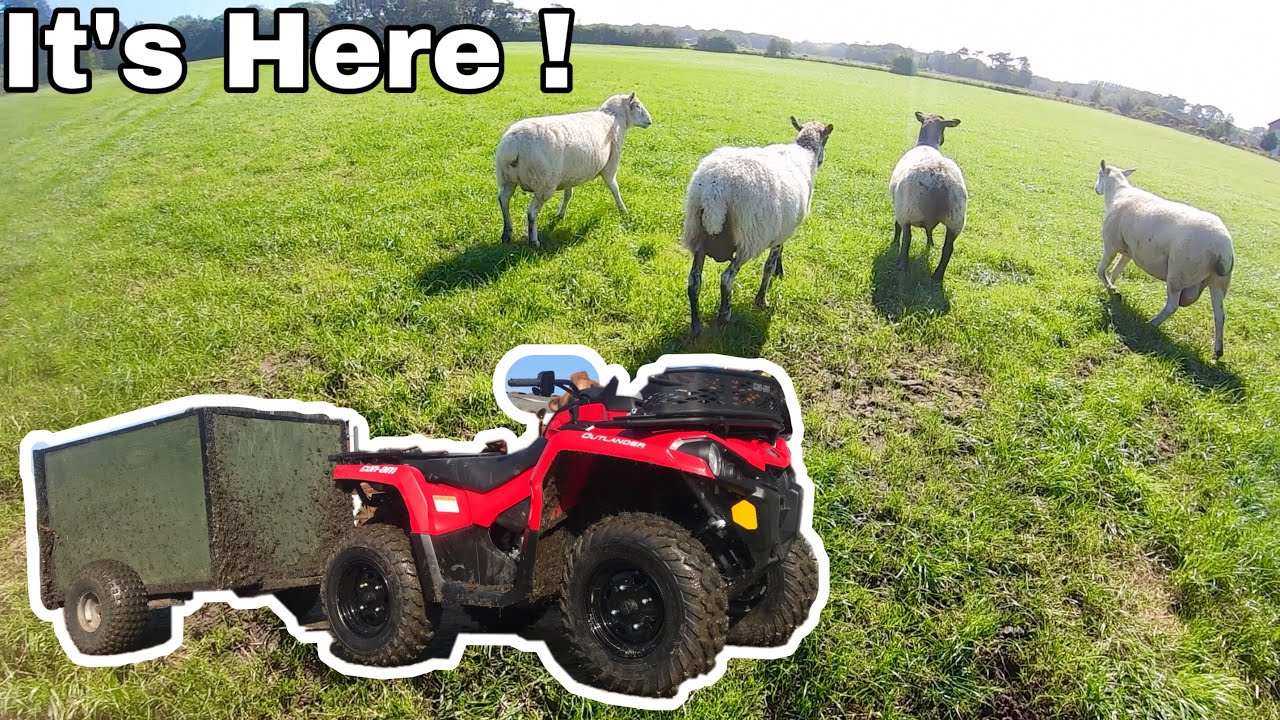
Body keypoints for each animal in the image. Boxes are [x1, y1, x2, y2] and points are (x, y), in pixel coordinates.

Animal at [496, 94, 653, 248]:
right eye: (637, 106)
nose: (650, 121)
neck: (613, 118)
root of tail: (514, 146)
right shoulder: (610, 166)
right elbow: (615, 189)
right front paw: (623, 211)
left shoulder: (569, 175)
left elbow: (568, 195)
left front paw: (560, 215)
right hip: (544, 183)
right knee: (531, 213)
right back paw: (534, 241)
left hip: (506, 178)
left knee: (503, 200)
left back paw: (507, 233)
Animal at [682, 117, 834, 337]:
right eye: (827, 140)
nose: (822, 161)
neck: (805, 154)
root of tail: (714, 189)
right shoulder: (782, 231)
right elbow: (768, 267)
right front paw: (762, 299)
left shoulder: (782, 229)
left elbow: (779, 254)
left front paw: (779, 271)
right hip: (748, 240)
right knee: (726, 279)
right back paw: (724, 316)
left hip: (697, 233)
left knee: (694, 281)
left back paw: (696, 326)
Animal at [889, 112, 968, 283]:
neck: (926, 144)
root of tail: (939, 181)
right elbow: (929, 230)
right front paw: (930, 244)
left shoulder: (899, 208)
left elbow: (897, 226)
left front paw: (894, 242)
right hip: (955, 219)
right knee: (948, 249)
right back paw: (937, 277)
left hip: (908, 211)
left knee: (907, 238)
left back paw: (902, 264)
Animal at [1095, 160, 1235, 360]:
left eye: (1099, 174)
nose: (1096, 188)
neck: (1118, 193)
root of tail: (1223, 250)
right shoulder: (1129, 251)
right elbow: (1115, 271)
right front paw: (1112, 289)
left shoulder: (1111, 245)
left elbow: (1101, 271)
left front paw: (1109, 287)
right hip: (1218, 282)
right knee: (1220, 315)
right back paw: (1217, 351)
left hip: (1179, 274)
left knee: (1172, 306)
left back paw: (1152, 324)